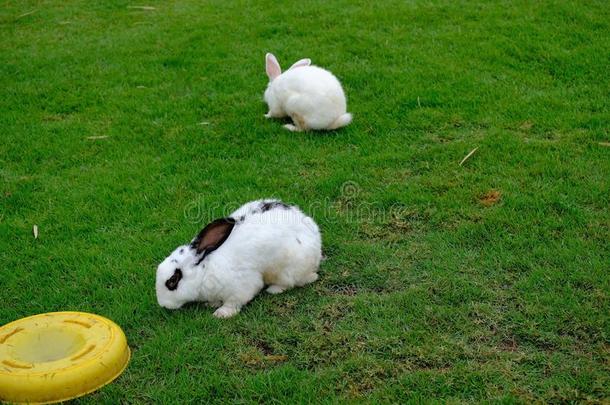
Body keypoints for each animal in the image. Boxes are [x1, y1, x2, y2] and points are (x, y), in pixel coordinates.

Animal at [154, 198, 320, 316]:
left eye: (173, 280)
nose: (162, 304)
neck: (205, 272)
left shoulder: (241, 287)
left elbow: (234, 302)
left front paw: (221, 313)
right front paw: (212, 304)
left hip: (287, 270)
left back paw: (274, 289)